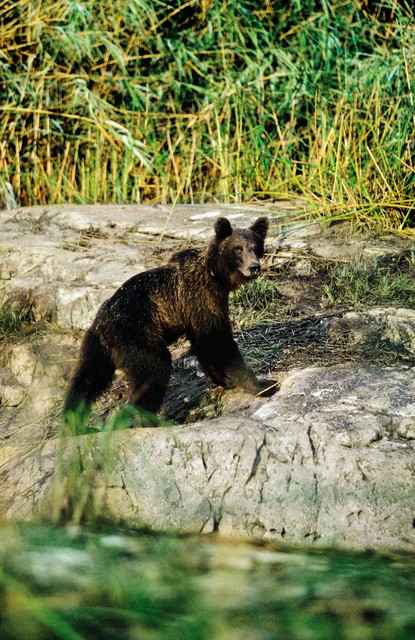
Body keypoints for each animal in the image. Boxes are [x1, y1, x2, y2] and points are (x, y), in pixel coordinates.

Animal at [63, 216, 278, 430]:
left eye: (256, 246)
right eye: (238, 248)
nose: (254, 267)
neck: (217, 275)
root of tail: (102, 325)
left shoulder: (194, 312)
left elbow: (203, 344)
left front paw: (222, 379)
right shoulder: (202, 297)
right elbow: (220, 341)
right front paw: (263, 385)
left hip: (96, 347)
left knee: (86, 381)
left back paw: (74, 422)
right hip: (137, 334)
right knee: (154, 371)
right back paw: (147, 419)